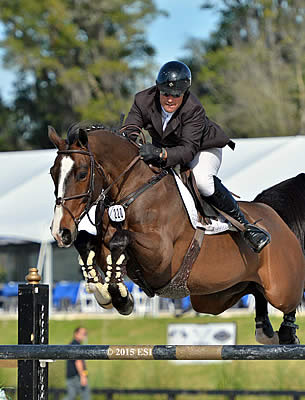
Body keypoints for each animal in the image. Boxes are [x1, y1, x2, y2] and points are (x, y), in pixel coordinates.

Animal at [48, 124, 304, 344]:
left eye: (82, 173)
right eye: (52, 173)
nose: (60, 232)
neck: (131, 193)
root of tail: (274, 214)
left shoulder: (160, 257)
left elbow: (121, 240)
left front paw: (121, 297)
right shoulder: (105, 245)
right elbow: (87, 243)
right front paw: (103, 290)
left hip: (280, 288)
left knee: (289, 300)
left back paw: (287, 332)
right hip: (215, 297)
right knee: (254, 291)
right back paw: (265, 329)